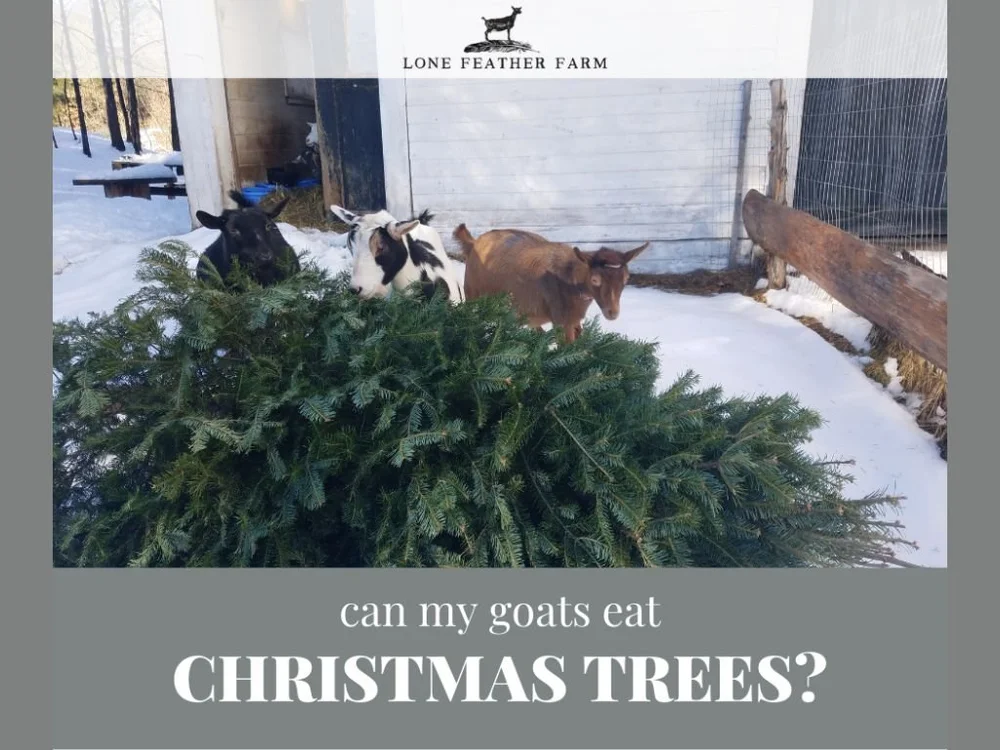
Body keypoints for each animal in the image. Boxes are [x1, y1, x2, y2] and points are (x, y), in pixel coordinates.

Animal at [454, 224, 648, 344]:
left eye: (626, 278)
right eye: (595, 280)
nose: (612, 313)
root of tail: (474, 242)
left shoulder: (572, 318)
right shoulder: (562, 320)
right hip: (472, 291)